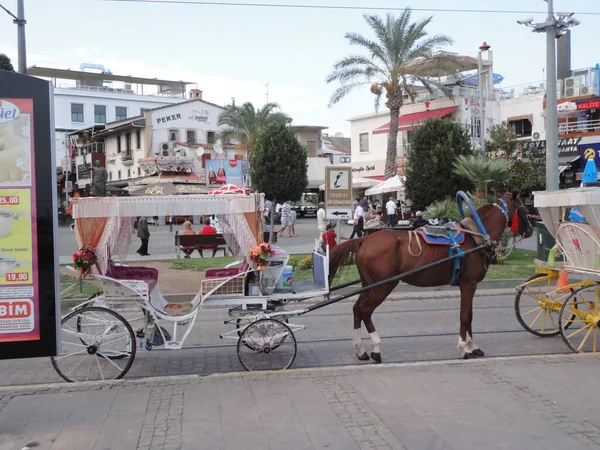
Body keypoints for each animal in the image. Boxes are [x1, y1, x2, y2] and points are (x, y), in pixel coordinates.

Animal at [328, 192, 536, 360]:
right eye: (523, 209)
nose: (532, 230)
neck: (474, 236)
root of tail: (364, 239)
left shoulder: (470, 286)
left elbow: (469, 315)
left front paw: (472, 345)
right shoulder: (468, 284)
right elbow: (464, 316)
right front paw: (464, 348)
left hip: (368, 285)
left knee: (357, 309)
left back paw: (360, 350)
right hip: (383, 286)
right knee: (365, 310)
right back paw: (376, 348)